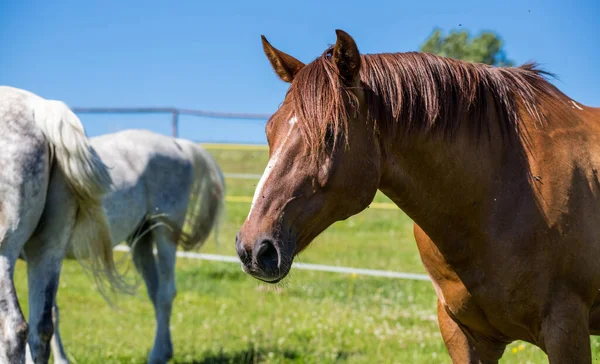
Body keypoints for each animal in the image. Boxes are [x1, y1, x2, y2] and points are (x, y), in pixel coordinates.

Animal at [50, 130, 225, 364]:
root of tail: (177, 144)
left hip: (164, 234)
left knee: (165, 293)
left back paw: (157, 354)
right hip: (140, 239)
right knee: (155, 291)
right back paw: (165, 350)